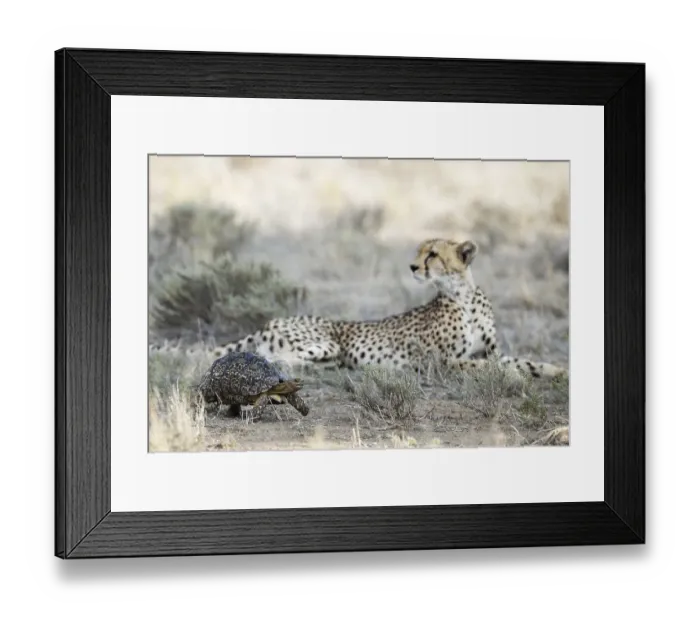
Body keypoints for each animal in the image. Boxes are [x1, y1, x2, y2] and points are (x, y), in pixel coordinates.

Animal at [210, 238, 567, 380]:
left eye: (432, 253)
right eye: (419, 251)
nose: (412, 266)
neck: (463, 295)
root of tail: (269, 321)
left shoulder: (491, 351)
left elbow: (523, 361)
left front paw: (556, 371)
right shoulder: (439, 362)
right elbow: (484, 366)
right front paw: (514, 376)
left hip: (329, 352)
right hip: (326, 343)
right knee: (273, 358)